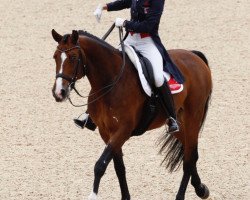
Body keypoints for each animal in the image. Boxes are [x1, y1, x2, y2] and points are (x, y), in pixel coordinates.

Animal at [51, 28, 212, 200]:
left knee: (189, 158)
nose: (59, 93)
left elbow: (100, 165)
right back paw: (201, 189)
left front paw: (93, 195)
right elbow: (119, 167)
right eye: (55, 57)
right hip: (179, 124)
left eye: (73, 57)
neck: (111, 81)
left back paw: (183, 195)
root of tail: (194, 55)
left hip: (192, 118)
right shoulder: (106, 132)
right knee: (190, 152)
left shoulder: (123, 130)